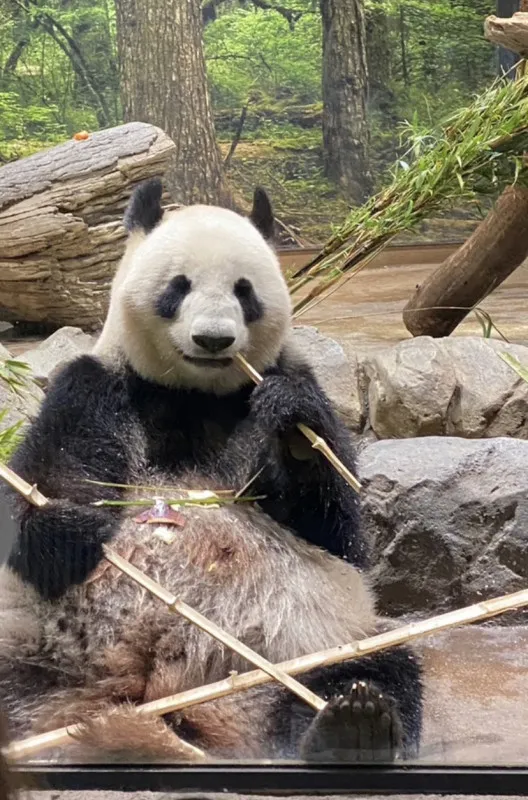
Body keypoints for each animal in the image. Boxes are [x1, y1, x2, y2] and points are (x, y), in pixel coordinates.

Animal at [0, 181, 422, 764]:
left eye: (244, 291)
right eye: (178, 287)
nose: (214, 339)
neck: (191, 395)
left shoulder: (278, 384)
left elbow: (336, 532)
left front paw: (292, 426)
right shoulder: (96, 387)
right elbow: (44, 484)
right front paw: (69, 527)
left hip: (306, 641)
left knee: (376, 665)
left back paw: (353, 725)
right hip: (28, 640)